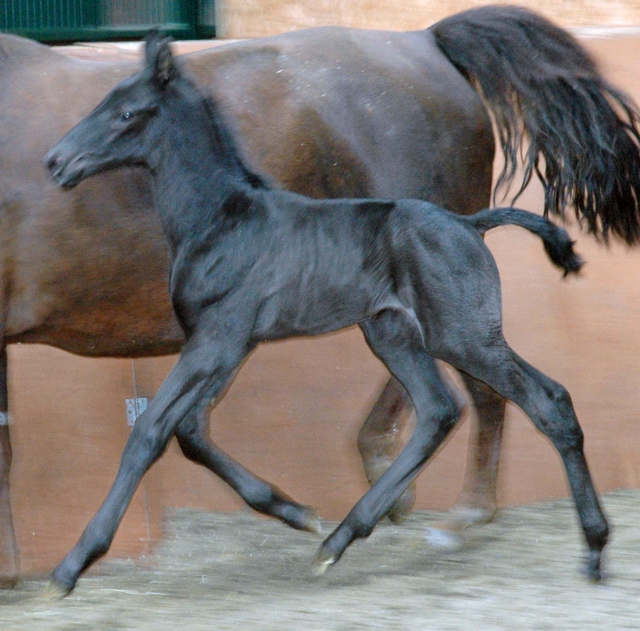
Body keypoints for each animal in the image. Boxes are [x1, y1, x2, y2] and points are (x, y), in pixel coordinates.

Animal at [2, 5, 640, 587]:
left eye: (126, 112)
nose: (57, 162)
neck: (224, 217)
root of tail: (470, 223)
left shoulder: (216, 340)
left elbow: (149, 433)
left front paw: (71, 566)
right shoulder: (225, 343)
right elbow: (191, 430)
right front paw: (296, 511)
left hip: (463, 335)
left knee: (541, 400)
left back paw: (582, 545)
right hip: (391, 332)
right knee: (440, 408)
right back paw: (342, 537)